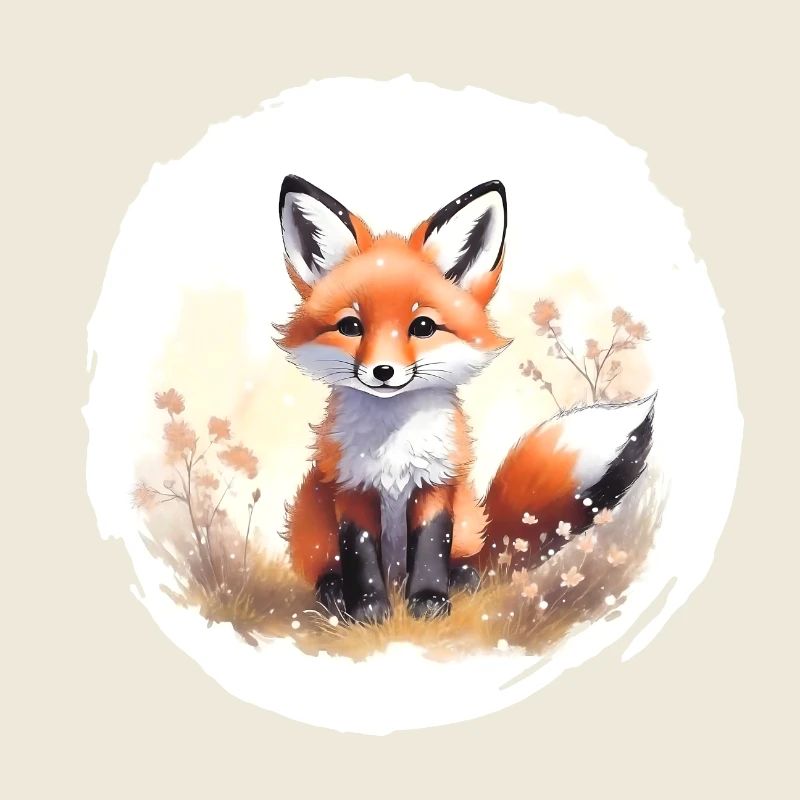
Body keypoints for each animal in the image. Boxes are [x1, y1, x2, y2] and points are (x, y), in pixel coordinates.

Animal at [276, 175, 654, 624]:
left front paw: (429, 600)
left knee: (470, 561)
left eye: (423, 326)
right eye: (351, 326)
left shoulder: (437, 482)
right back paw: (334, 593)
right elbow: (361, 554)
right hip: (310, 520)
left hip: (468, 521)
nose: (382, 372)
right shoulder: (352, 487)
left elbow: (430, 546)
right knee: (327, 568)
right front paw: (368, 609)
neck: (393, 445)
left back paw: (461, 580)